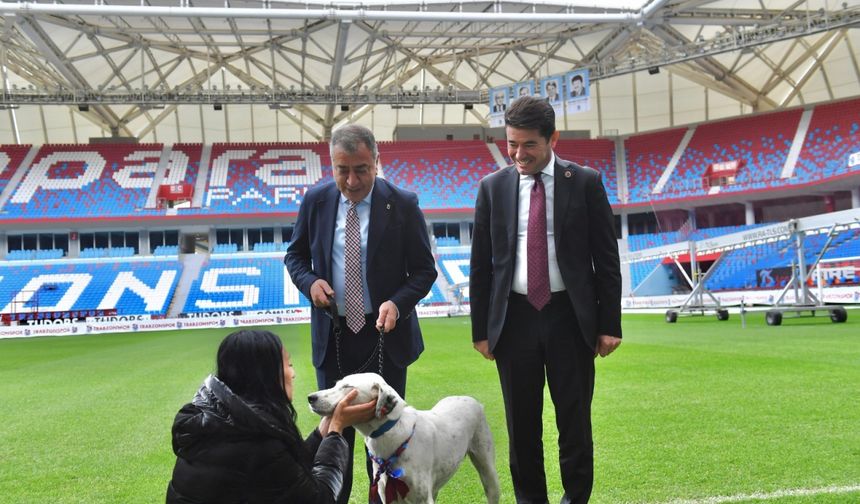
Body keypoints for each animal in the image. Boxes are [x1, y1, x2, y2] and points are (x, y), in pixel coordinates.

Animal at [310, 372, 500, 502]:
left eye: (347, 387)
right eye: (336, 384)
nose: (310, 397)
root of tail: (473, 400)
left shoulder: (422, 498)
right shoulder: (387, 495)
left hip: (488, 471)